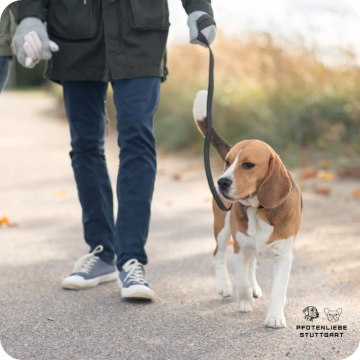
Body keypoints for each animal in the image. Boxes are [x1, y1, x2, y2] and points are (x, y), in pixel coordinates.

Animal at [193, 90, 302, 330]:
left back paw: (254, 287)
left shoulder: (284, 256)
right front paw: (243, 302)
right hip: (223, 230)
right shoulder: (240, 246)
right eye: (227, 162)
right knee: (218, 255)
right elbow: (241, 278)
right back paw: (224, 285)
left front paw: (275, 317)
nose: (221, 182)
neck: (258, 209)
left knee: (252, 265)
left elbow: (278, 290)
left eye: (248, 165)